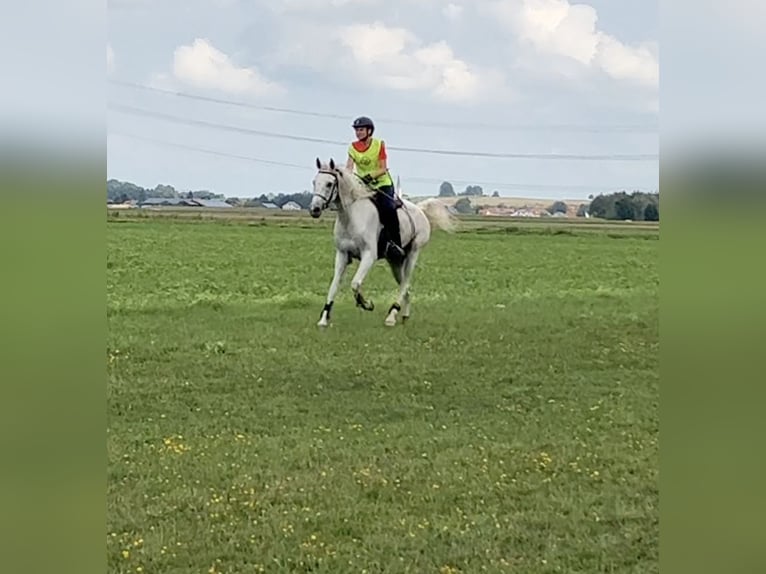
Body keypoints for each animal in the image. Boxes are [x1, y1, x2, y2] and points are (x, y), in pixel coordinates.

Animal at [310, 157, 456, 327]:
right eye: (314, 182)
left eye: (329, 184)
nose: (314, 209)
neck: (352, 217)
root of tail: (420, 209)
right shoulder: (342, 254)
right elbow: (334, 286)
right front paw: (324, 318)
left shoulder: (368, 256)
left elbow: (355, 283)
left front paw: (366, 304)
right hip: (395, 261)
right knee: (405, 285)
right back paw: (404, 315)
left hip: (413, 253)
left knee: (405, 283)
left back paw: (392, 315)